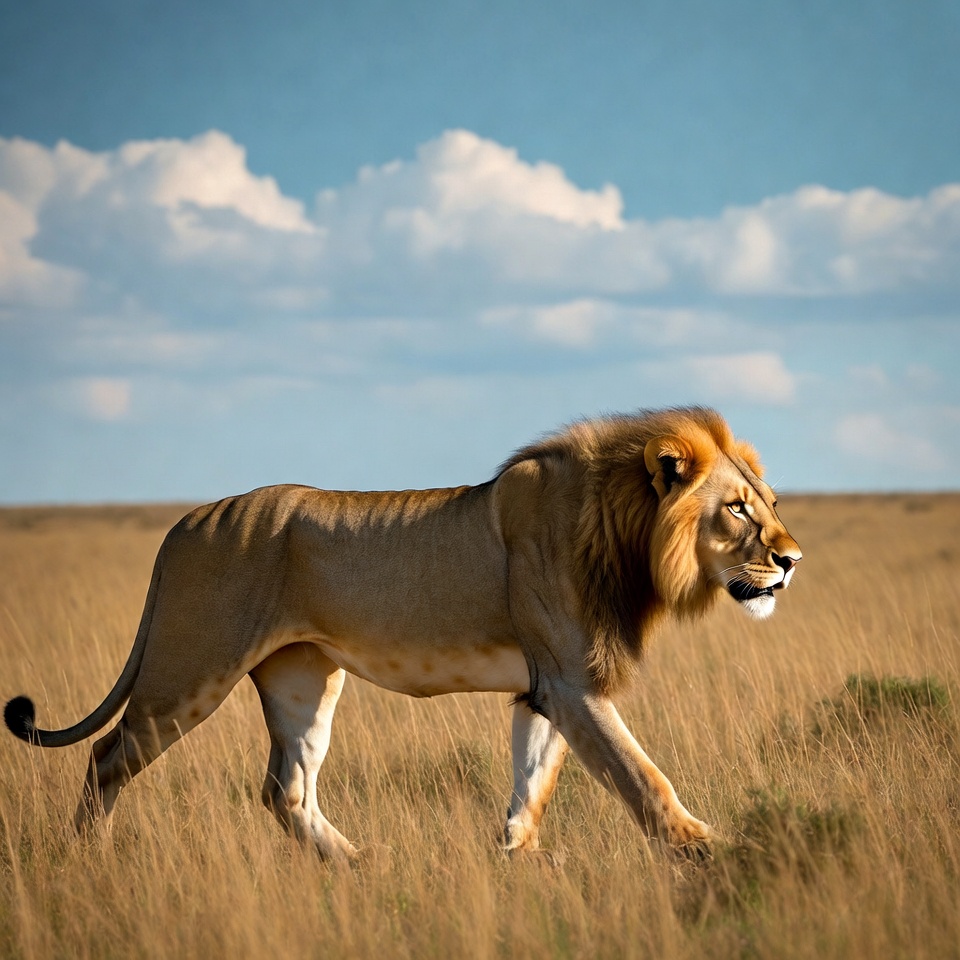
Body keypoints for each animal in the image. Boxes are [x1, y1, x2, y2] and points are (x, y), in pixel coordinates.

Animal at [5, 406, 800, 861]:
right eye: (736, 509)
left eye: (768, 503)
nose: (792, 560)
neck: (625, 535)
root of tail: (185, 522)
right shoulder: (574, 682)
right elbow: (643, 777)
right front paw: (709, 850)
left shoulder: (546, 688)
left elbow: (535, 780)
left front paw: (513, 855)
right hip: (188, 671)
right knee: (108, 756)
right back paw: (90, 861)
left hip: (303, 678)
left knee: (287, 789)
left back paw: (360, 866)